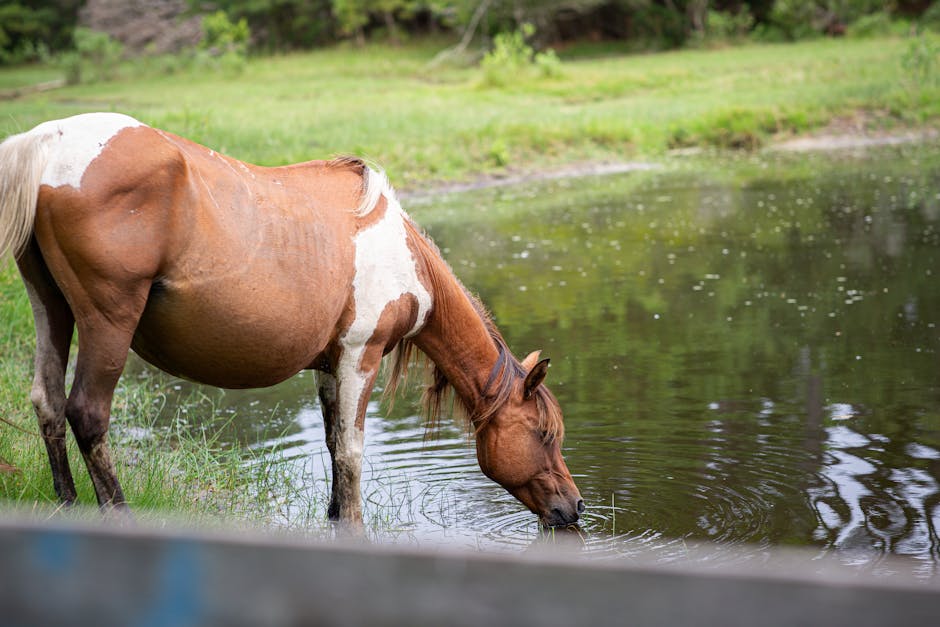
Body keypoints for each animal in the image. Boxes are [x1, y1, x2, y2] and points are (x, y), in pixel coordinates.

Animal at [0, 114, 584, 528]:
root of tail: (48, 140)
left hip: (52, 308)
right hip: (108, 322)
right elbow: (351, 452)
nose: (574, 507)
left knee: (48, 404)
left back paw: (68, 507)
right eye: (544, 434)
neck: (405, 258)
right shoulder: (360, 357)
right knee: (87, 414)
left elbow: (331, 444)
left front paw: (334, 517)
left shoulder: (330, 365)